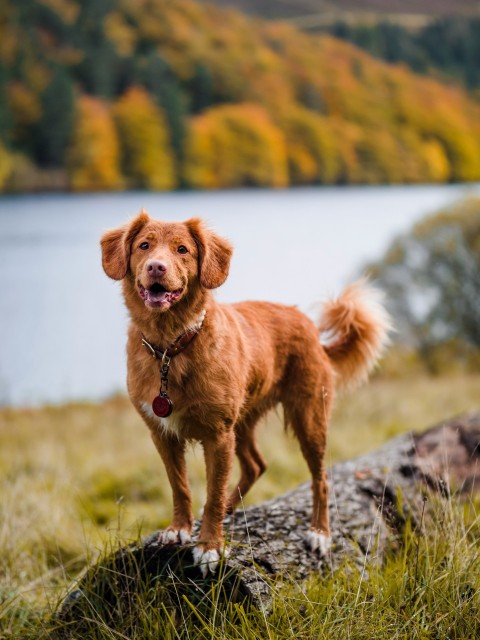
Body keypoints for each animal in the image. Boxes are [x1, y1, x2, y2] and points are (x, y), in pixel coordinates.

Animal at [101, 210, 390, 576]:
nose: (156, 267)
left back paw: (319, 533)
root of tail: (309, 326)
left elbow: (212, 491)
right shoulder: (163, 434)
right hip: (243, 422)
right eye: (144, 246)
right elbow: (180, 485)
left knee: (320, 478)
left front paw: (210, 546)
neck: (171, 347)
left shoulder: (218, 435)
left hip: (308, 418)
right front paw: (180, 528)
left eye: (182, 249)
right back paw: (231, 508)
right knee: (256, 465)